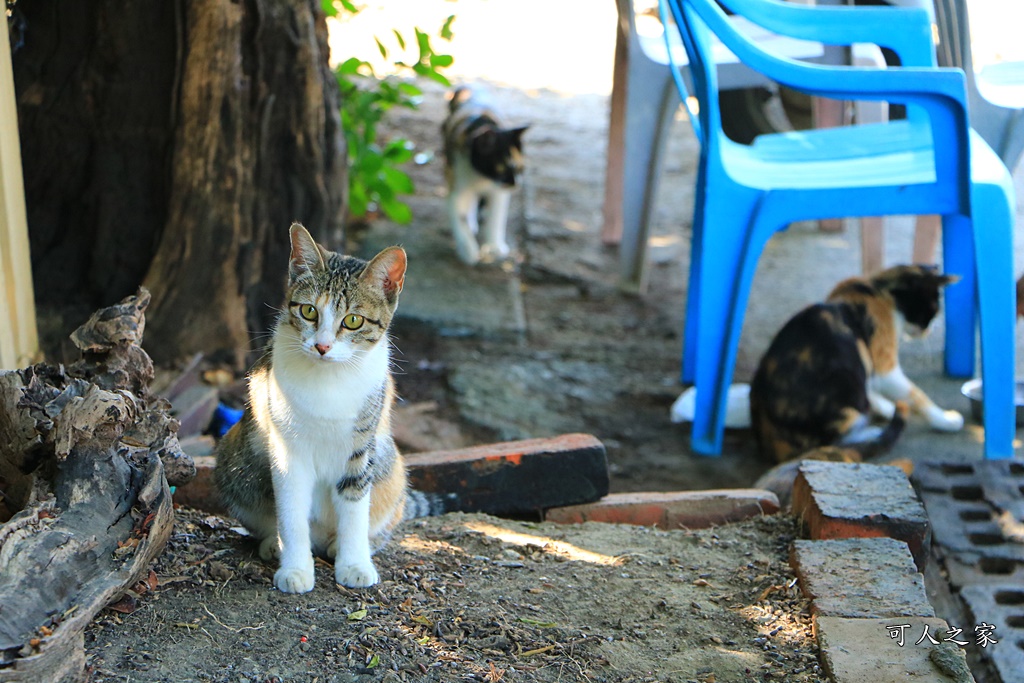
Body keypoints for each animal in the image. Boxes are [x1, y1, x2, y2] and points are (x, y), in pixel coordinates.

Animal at [214, 223, 442, 593]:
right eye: (309, 311)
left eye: (353, 320)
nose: (322, 346)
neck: (329, 379)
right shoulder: (286, 448)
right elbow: (291, 512)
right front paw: (295, 568)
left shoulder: (360, 446)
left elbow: (354, 509)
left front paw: (354, 564)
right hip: (235, 454)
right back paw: (273, 544)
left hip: (392, 466)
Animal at [442, 84, 528, 264]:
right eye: (501, 169)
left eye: (520, 169)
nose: (515, 184)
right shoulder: (456, 182)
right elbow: (459, 218)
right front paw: (468, 250)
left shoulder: (498, 192)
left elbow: (496, 218)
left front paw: (495, 247)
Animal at [749, 264, 962, 462]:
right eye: (933, 309)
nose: (929, 330)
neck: (877, 289)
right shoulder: (883, 365)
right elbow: (916, 394)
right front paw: (945, 419)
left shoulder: (867, 365)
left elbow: (871, 387)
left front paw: (885, 406)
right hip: (844, 386)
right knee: (830, 443)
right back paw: (872, 433)